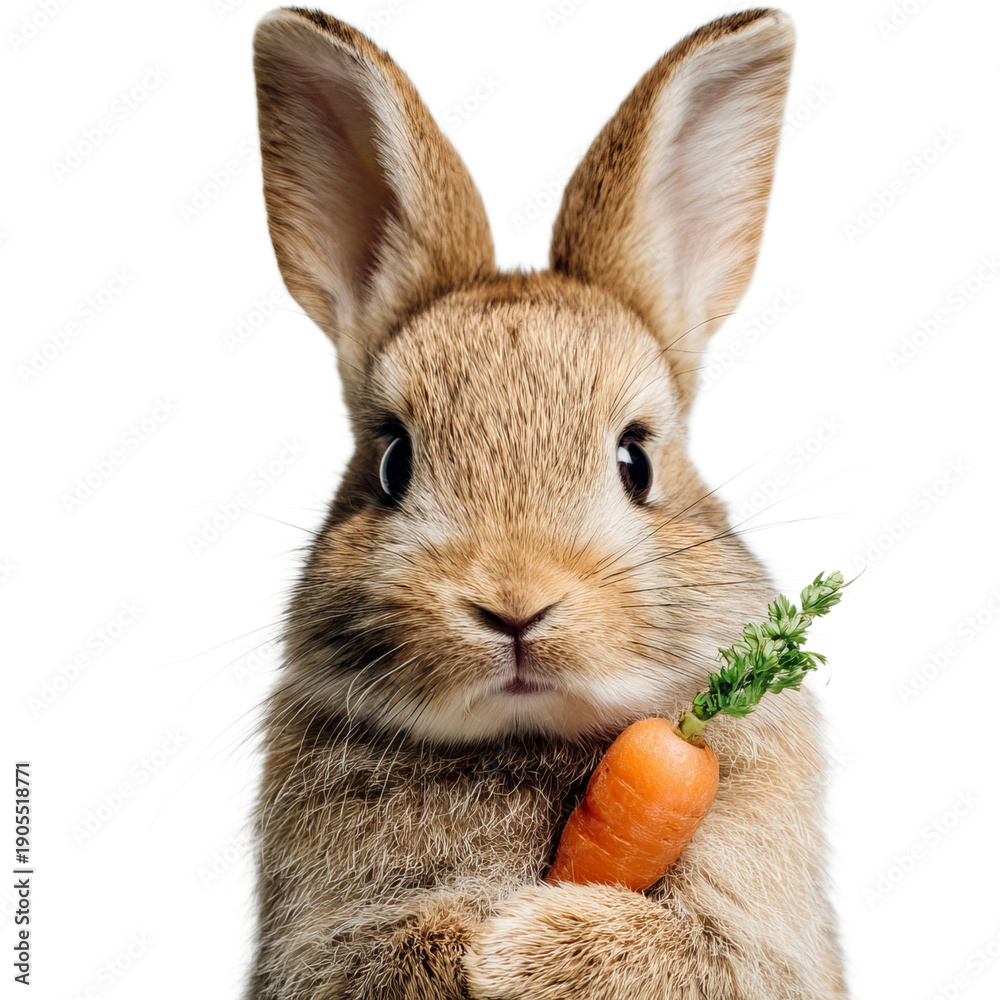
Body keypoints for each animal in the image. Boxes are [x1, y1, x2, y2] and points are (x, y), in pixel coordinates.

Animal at [246, 6, 848, 999]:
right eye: (394, 461)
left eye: (636, 460)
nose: (515, 605)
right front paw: (472, 940)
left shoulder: (758, 944)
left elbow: (693, 952)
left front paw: (513, 946)